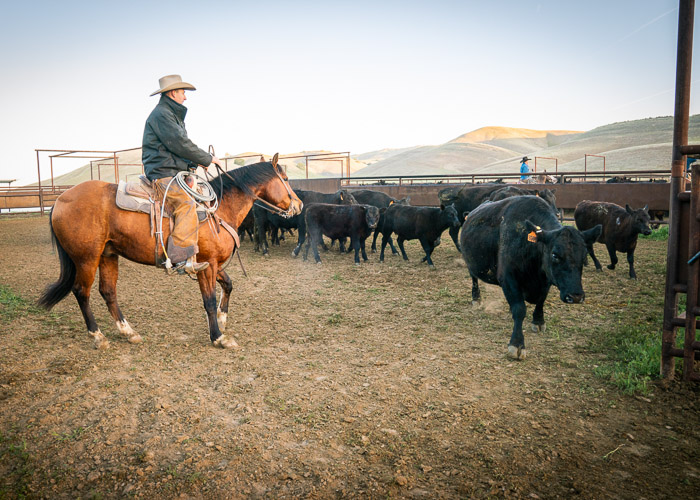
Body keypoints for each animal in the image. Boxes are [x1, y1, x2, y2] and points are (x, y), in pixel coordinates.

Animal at [38, 154, 300, 350]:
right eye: (286, 178)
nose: (299, 205)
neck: (219, 209)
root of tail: (60, 200)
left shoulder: (213, 264)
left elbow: (228, 285)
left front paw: (222, 320)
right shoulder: (206, 265)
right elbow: (208, 299)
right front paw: (218, 336)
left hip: (107, 255)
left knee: (108, 292)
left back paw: (128, 332)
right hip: (86, 258)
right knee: (82, 292)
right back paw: (98, 336)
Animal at [460, 195, 600, 360]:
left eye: (584, 256)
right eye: (554, 255)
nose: (576, 296)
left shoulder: (546, 281)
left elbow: (541, 301)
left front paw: (538, 321)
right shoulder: (508, 279)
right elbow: (519, 309)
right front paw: (517, 344)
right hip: (471, 265)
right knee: (474, 280)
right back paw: (476, 298)